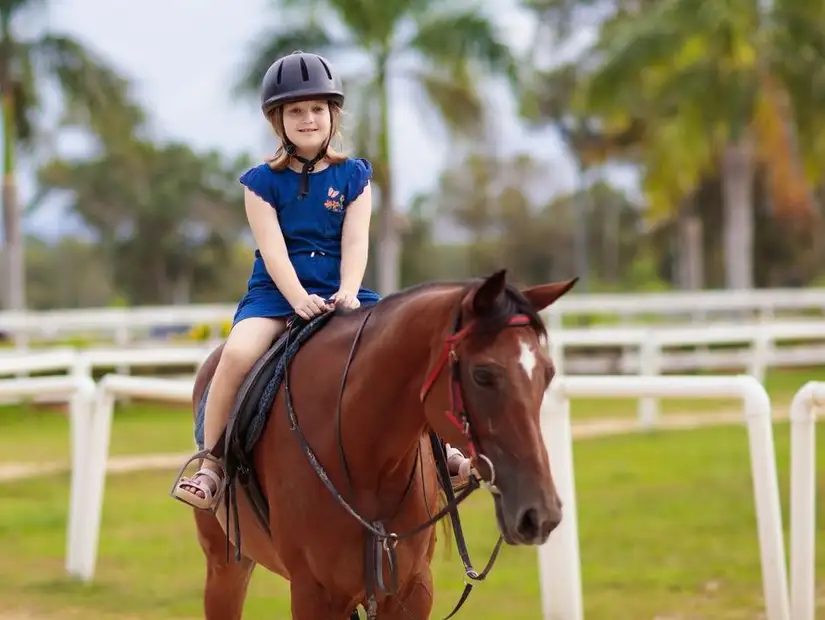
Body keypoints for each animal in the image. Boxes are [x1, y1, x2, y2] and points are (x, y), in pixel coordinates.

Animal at [183, 272, 576, 620]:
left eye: (548, 373)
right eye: (483, 375)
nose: (540, 514)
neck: (367, 460)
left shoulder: (413, 590)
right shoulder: (314, 595)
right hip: (225, 567)